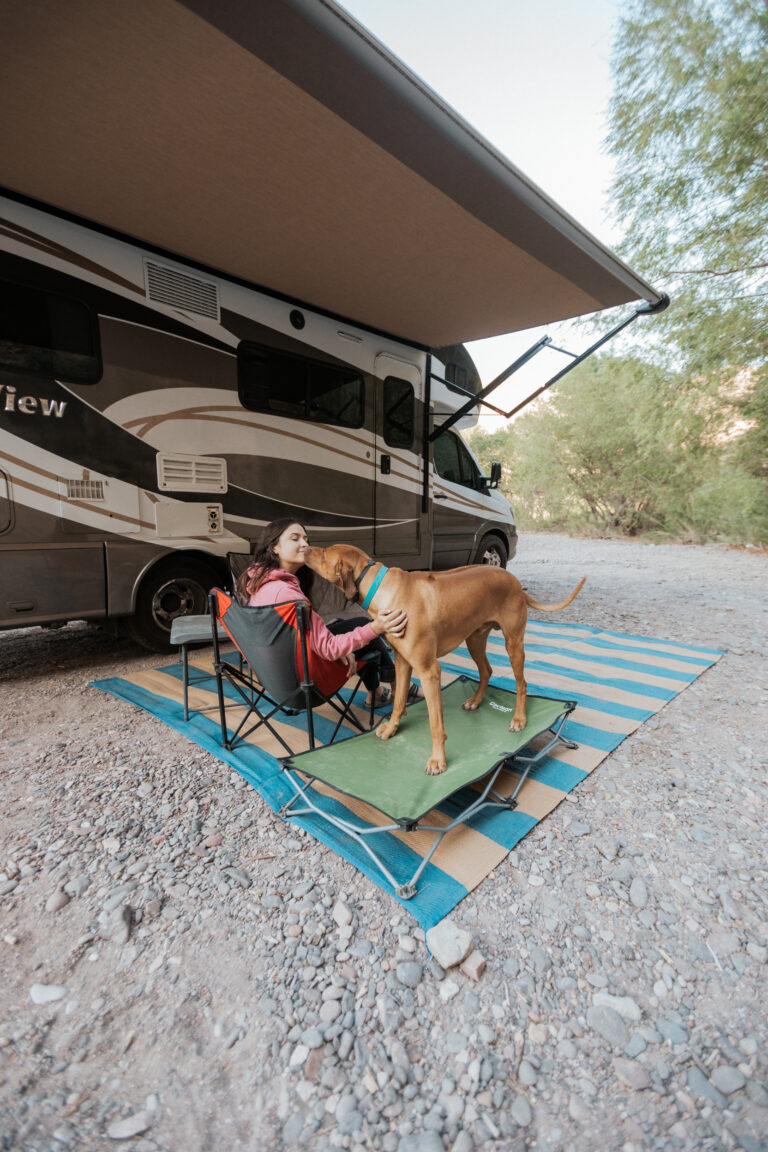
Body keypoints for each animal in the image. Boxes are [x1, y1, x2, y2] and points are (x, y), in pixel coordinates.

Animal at [306, 543, 582, 778]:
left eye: (324, 553)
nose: (306, 546)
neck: (383, 588)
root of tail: (514, 580)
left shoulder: (429, 671)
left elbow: (435, 723)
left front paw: (438, 760)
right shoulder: (402, 663)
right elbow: (398, 701)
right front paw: (392, 728)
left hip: (513, 642)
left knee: (521, 683)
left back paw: (519, 719)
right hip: (474, 639)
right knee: (487, 671)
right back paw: (476, 701)